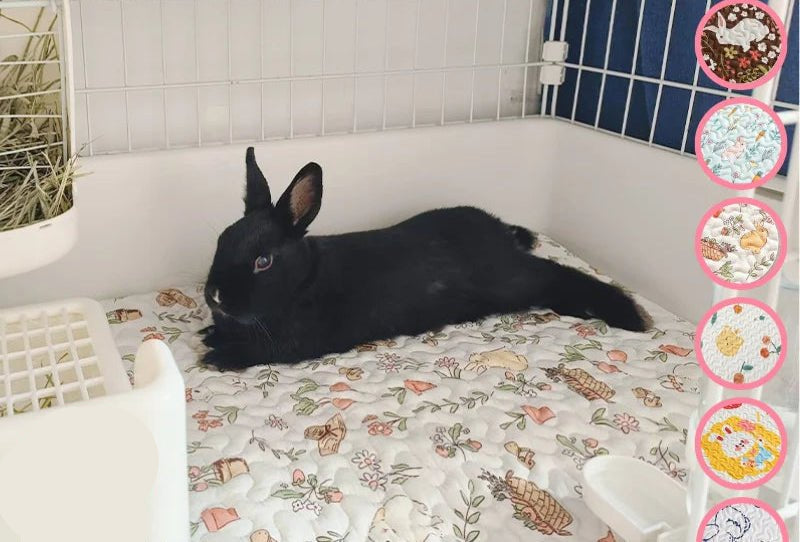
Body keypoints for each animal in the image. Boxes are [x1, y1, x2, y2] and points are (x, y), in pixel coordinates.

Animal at [200, 148, 652, 369]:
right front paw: (211, 335)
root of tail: (501, 233)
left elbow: (264, 352)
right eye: (221, 239)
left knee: (558, 275)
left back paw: (628, 314)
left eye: (263, 261)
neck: (303, 281)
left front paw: (218, 355)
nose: (215, 296)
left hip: (513, 279)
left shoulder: (299, 342)